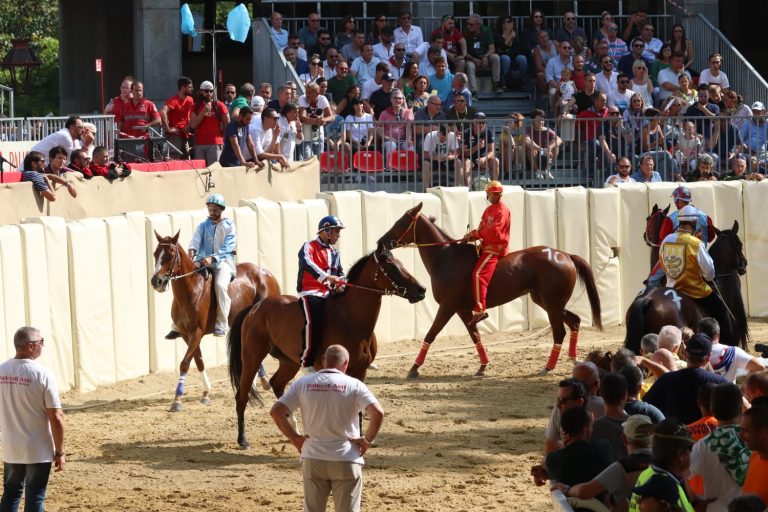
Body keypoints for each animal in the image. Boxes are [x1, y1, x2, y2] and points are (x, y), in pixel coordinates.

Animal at [151, 232, 282, 412]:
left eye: (170, 255)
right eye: (155, 254)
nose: (156, 281)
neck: (192, 288)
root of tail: (267, 274)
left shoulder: (197, 332)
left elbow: (185, 363)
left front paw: (177, 400)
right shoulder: (186, 334)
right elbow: (198, 361)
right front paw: (206, 393)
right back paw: (257, 383)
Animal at [228, 246, 426, 446]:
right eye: (392, 267)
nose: (421, 290)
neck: (350, 319)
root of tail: (256, 308)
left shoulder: (360, 370)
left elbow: (358, 407)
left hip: (289, 362)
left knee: (277, 384)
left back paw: (292, 428)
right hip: (252, 358)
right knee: (242, 396)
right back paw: (242, 439)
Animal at [378, 203, 608, 376]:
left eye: (401, 222)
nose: (381, 242)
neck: (447, 258)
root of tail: (565, 255)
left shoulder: (448, 306)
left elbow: (431, 334)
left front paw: (414, 368)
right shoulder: (462, 309)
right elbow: (475, 336)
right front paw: (482, 366)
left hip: (552, 304)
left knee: (559, 331)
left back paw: (548, 367)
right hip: (547, 302)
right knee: (574, 321)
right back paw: (573, 358)